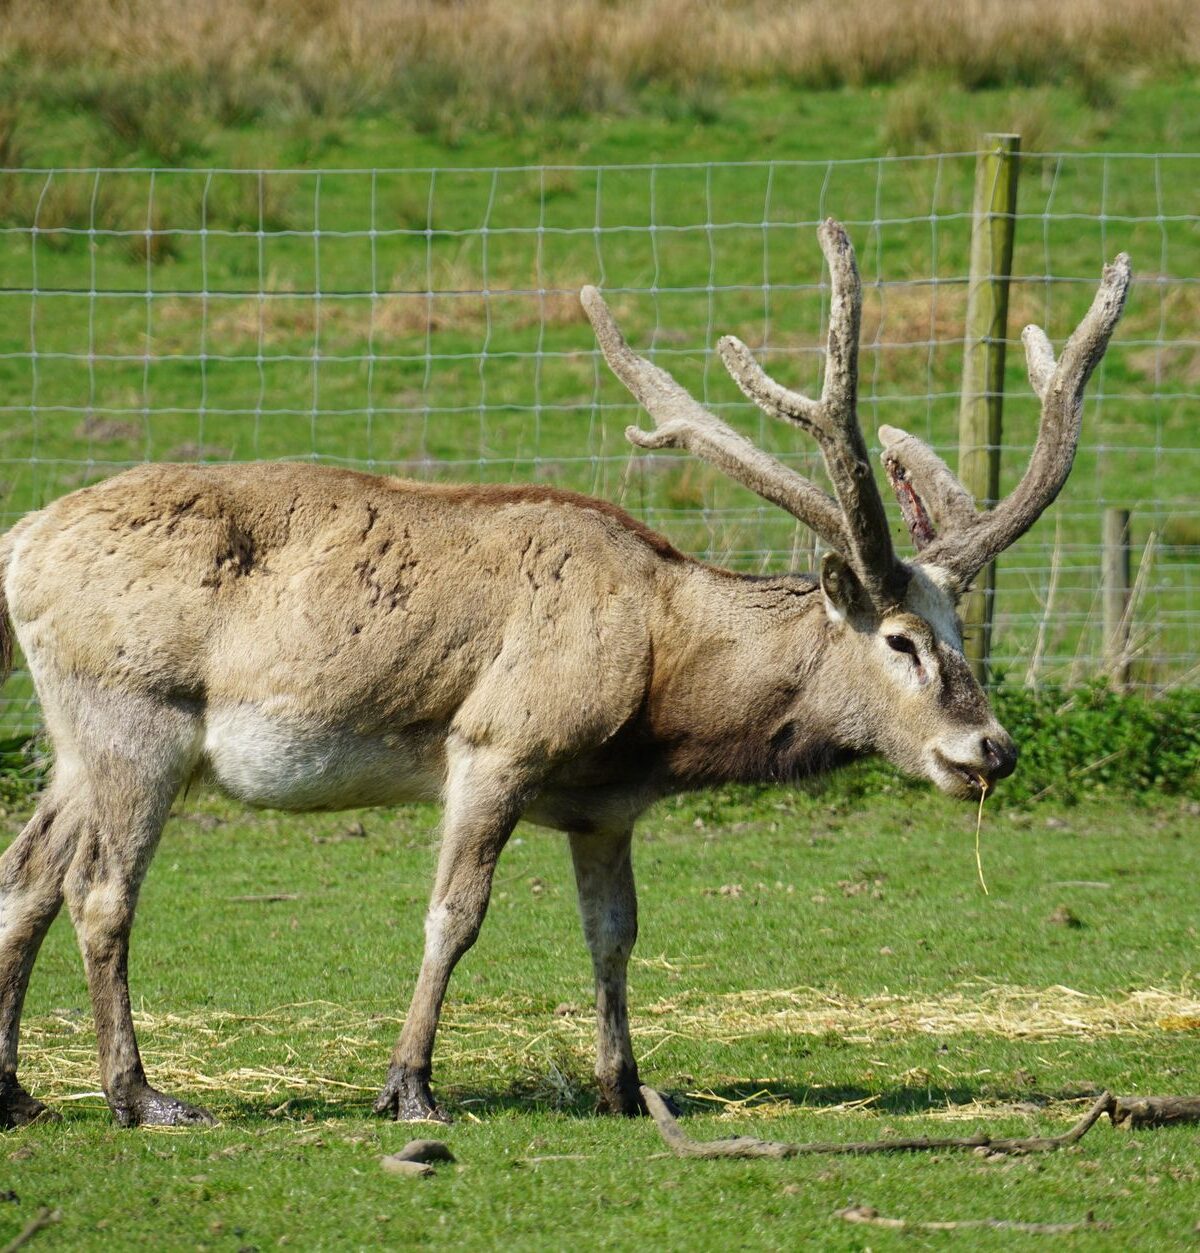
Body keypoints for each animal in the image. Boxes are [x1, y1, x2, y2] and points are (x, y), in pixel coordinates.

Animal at [0, 220, 1129, 1129]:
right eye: (899, 639)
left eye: (960, 627)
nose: (990, 748)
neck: (657, 694)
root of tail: (20, 542)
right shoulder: (498, 739)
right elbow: (455, 913)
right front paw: (409, 1084)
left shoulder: (603, 809)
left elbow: (615, 934)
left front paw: (623, 1085)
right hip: (136, 715)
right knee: (101, 888)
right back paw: (140, 1094)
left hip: (70, 734)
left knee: (28, 869)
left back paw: (19, 1093)